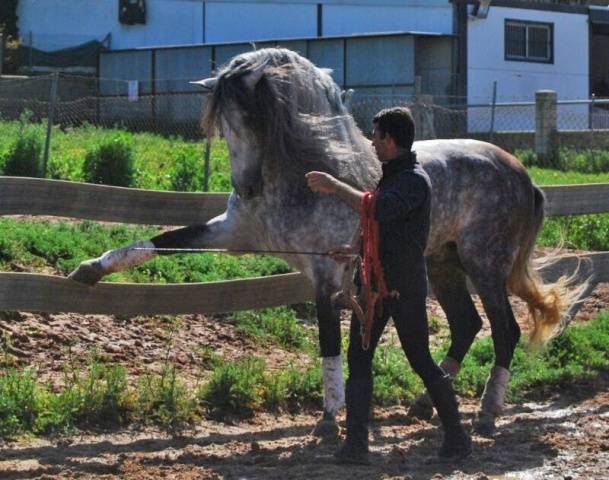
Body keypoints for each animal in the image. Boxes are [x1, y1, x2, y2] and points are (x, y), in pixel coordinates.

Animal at [66, 47, 580, 436]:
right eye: (223, 128)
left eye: (251, 119)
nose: (245, 187)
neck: (297, 178)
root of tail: (522, 175)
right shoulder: (231, 232)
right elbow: (161, 240)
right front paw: (88, 270)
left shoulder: (329, 273)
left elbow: (330, 342)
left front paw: (329, 420)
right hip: (442, 264)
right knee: (466, 326)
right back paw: (422, 405)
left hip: (484, 264)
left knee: (504, 331)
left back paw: (488, 414)